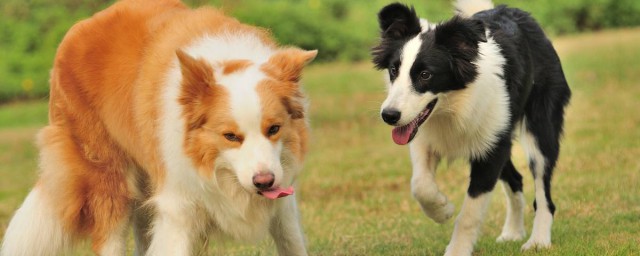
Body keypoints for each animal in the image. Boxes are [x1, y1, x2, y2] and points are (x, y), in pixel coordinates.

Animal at [0, 1, 318, 255]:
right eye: (230, 137)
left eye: (274, 129)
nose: (264, 182)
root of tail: (80, 27)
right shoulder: (178, 202)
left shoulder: (283, 189)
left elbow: (291, 241)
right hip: (108, 178)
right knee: (109, 233)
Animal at [372, 0, 572, 254]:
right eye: (393, 70)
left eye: (426, 75)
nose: (389, 115)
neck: (453, 106)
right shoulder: (425, 137)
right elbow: (420, 185)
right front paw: (442, 210)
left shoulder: (491, 152)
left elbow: (470, 212)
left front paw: (456, 249)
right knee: (516, 178)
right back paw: (513, 232)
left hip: (539, 125)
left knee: (542, 184)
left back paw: (538, 240)